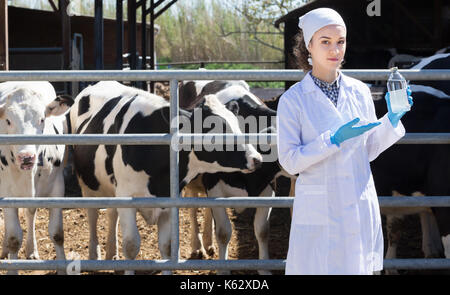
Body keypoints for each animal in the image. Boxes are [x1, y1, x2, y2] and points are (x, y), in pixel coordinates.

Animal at [0, 81, 73, 276]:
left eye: (42, 119)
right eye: (8, 121)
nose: (26, 157)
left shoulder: (57, 187)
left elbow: (57, 233)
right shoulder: (6, 193)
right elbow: (13, 238)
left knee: (30, 213)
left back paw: (31, 250)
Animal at [68, 80, 262, 276]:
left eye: (238, 125)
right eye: (215, 128)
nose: (256, 159)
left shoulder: (168, 203)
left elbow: (167, 248)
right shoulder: (126, 198)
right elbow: (131, 246)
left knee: (112, 214)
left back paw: (111, 254)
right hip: (88, 185)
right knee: (93, 215)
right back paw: (95, 255)